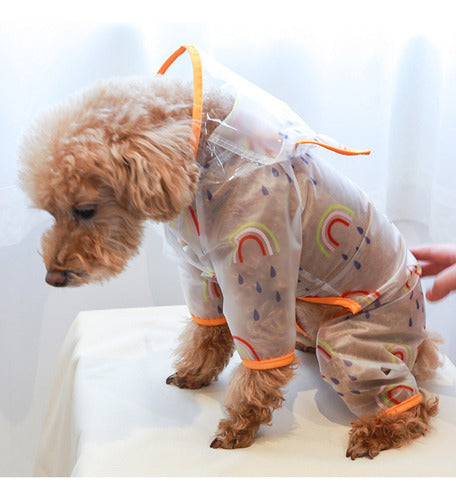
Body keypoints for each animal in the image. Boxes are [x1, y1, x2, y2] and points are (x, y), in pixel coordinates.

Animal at [18, 61, 442, 458]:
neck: (209, 159)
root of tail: (421, 341)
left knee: (411, 402)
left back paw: (378, 430)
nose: (53, 277)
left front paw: (239, 426)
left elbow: (260, 364)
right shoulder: (201, 271)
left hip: (351, 342)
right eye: (51, 211)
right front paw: (194, 374)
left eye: (85, 209)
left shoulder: (258, 268)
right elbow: (206, 330)